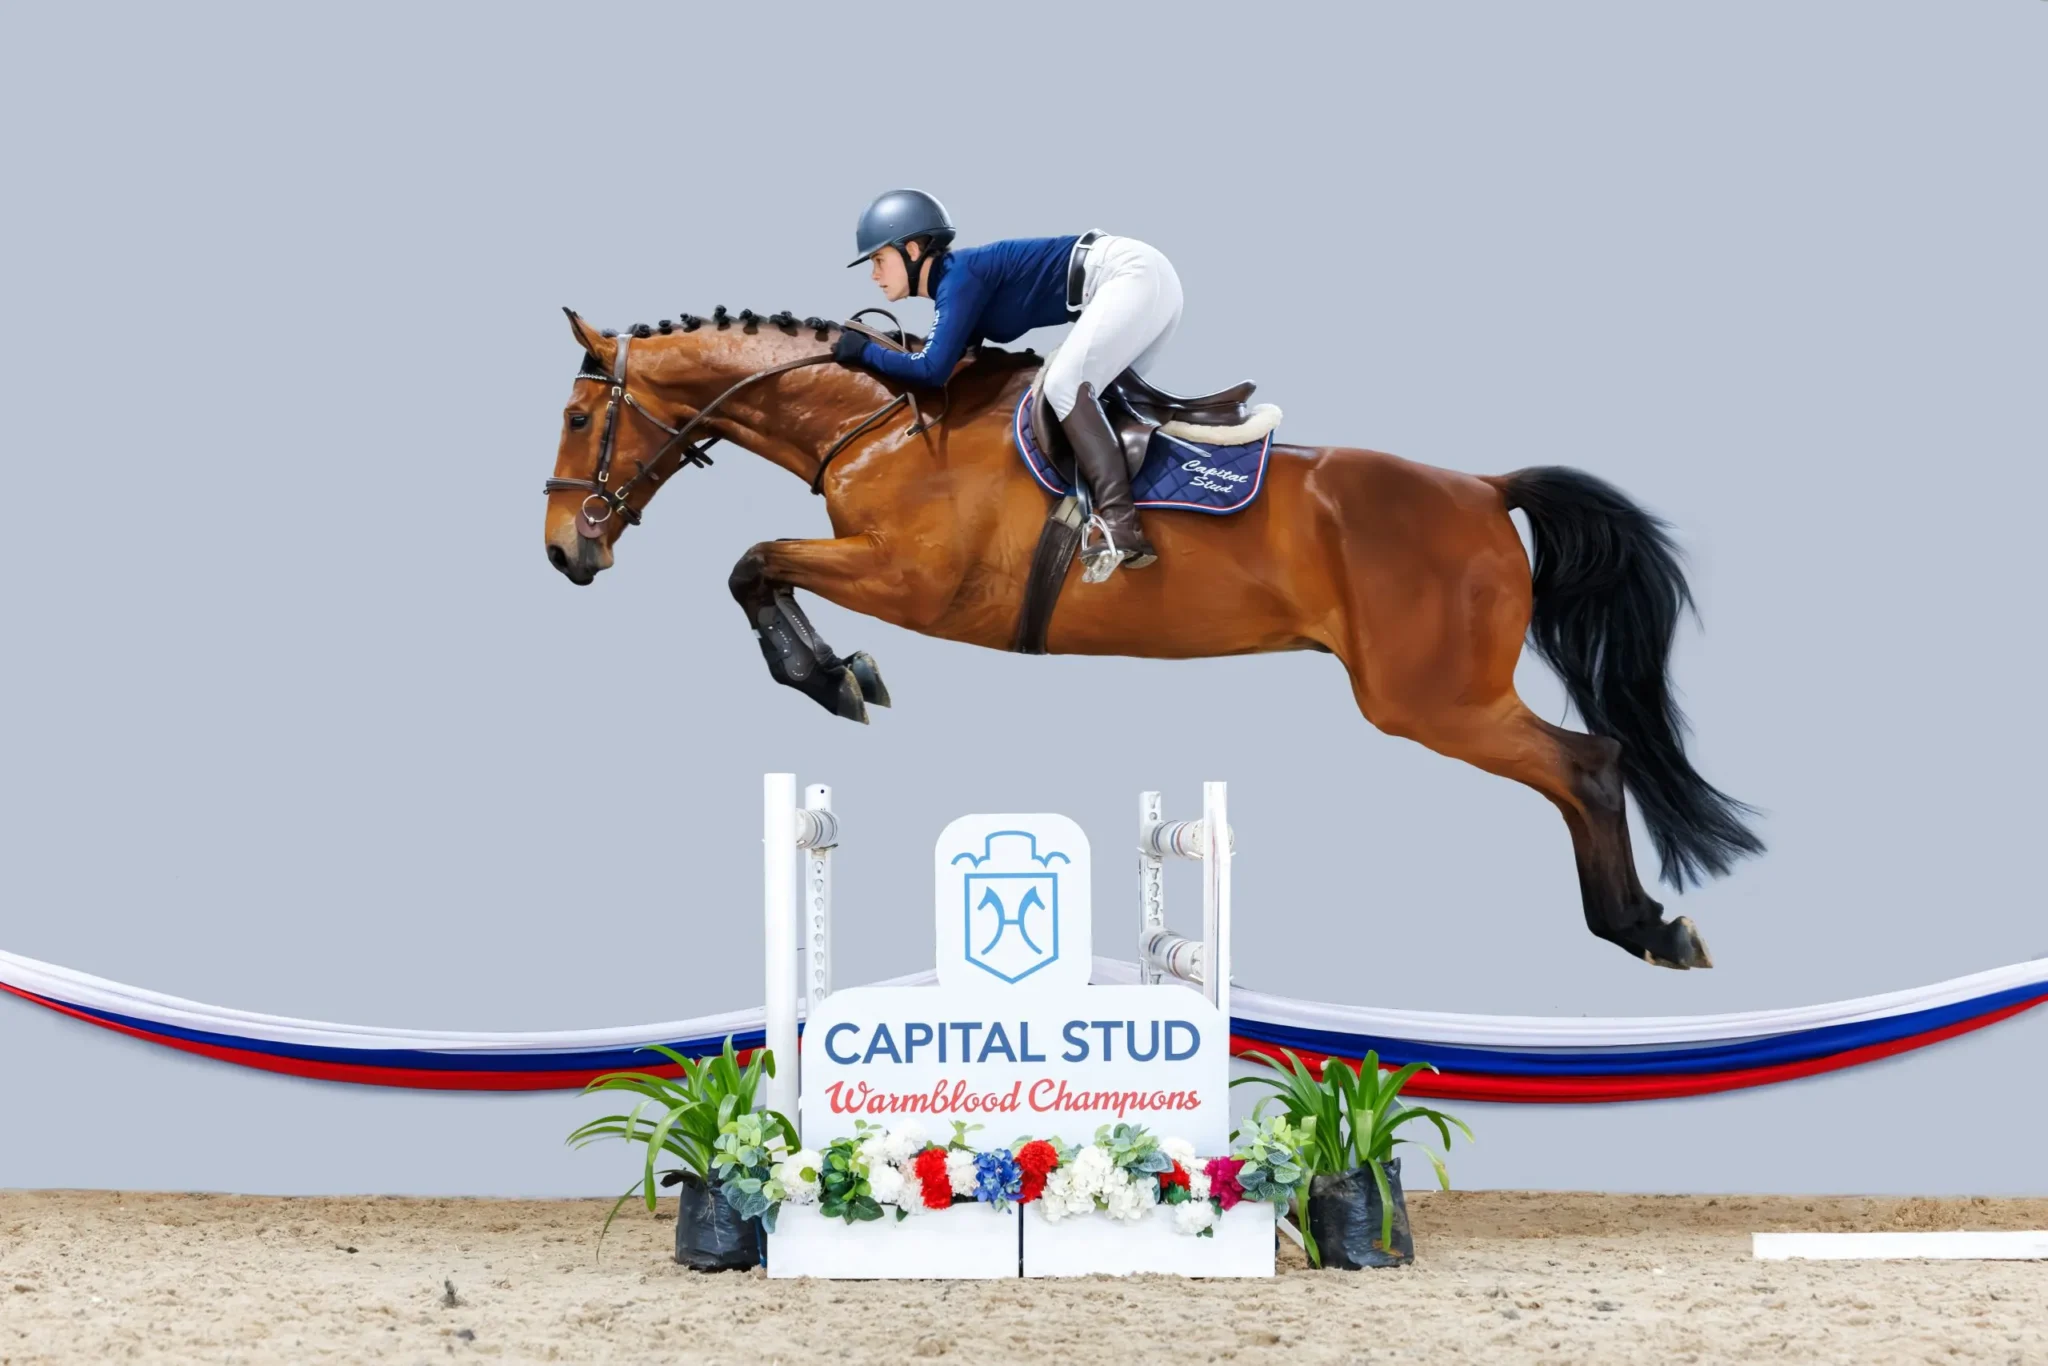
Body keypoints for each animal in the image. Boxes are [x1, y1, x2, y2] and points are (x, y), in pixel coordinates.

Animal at [541, 307, 1763, 971]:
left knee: (1588, 761)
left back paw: (1642, 927)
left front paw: (831, 675)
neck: (879, 416)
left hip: (1431, 701)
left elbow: (752, 560)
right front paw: (837, 671)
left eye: (575, 416)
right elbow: (758, 565)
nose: (564, 552)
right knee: (1585, 765)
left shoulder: (915, 582)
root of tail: (1483, 489)